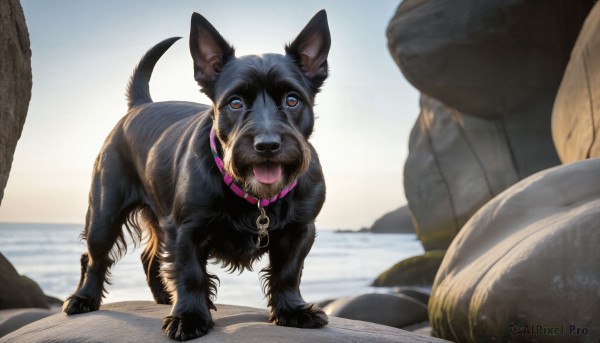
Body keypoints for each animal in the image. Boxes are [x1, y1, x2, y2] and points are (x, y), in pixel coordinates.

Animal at [62, 10, 328, 342]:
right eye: (235, 102)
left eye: (292, 100)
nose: (267, 145)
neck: (254, 195)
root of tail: (139, 106)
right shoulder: (186, 230)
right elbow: (191, 274)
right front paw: (188, 317)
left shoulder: (301, 231)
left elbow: (288, 272)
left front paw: (292, 310)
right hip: (104, 214)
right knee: (94, 257)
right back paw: (84, 297)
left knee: (149, 258)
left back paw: (163, 296)